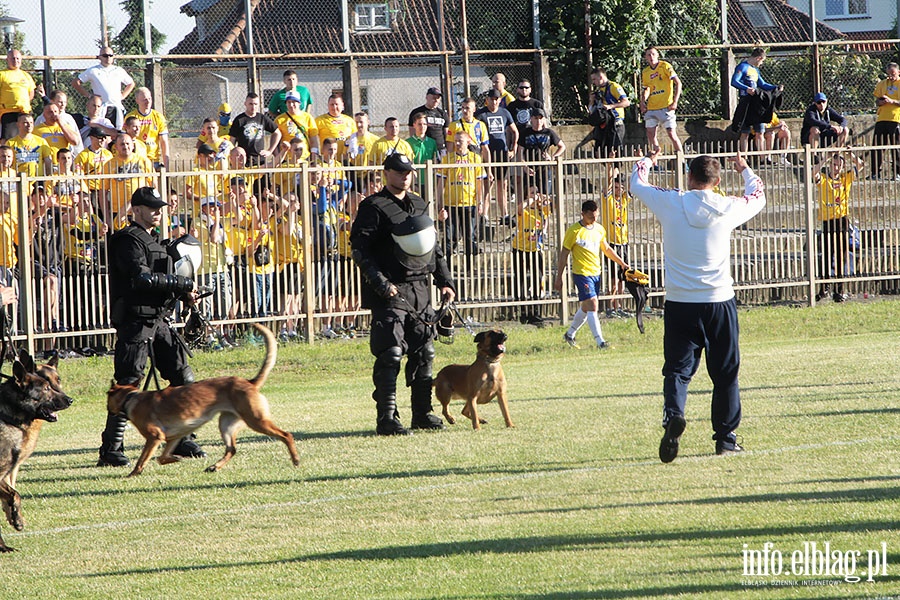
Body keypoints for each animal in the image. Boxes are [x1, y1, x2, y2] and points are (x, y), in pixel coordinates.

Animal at [0, 352, 73, 552]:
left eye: (58, 380)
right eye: (46, 388)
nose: (70, 400)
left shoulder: (7, 474)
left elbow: (13, 495)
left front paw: (15, 519)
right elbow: (14, 495)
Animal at [107, 324, 300, 478]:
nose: (108, 409)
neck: (130, 397)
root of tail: (249, 382)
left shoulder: (155, 437)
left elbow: (142, 459)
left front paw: (133, 473)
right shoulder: (174, 436)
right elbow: (162, 457)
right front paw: (175, 458)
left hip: (256, 420)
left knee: (286, 435)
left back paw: (296, 459)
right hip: (226, 424)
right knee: (232, 449)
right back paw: (214, 467)